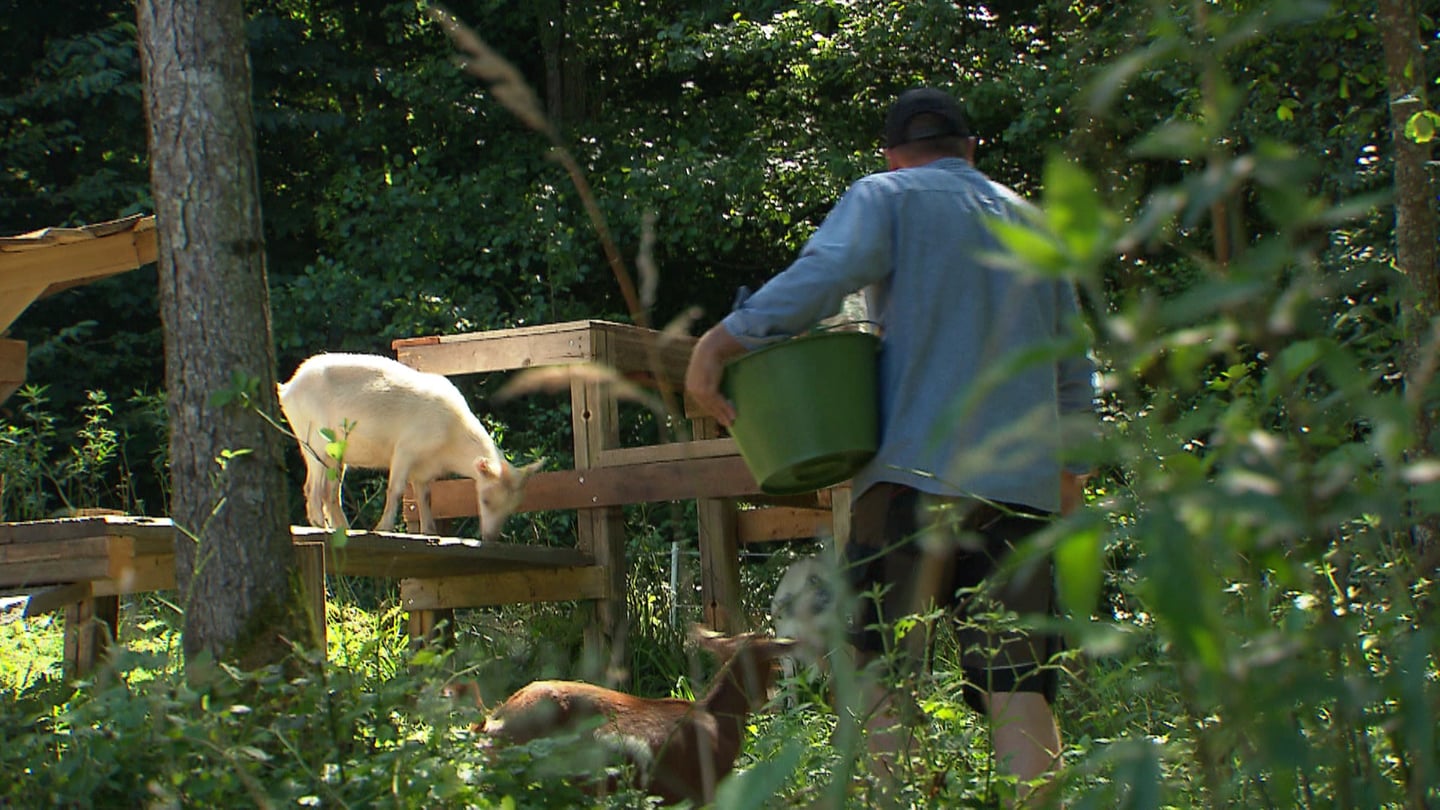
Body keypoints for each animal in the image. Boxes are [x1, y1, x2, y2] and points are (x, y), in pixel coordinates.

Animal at [275, 351, 541, 536]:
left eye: (513, 506)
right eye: (485, 500)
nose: (490, 536)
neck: (450, 437)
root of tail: (286, 389)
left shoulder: (424, 469)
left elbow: (425, 497)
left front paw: (429, 531)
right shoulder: (406, 448)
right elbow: (396, 489)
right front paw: (383, 528)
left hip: (336, 452)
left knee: (331, 491)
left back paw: (344, 528)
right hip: (313, 438)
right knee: (313, 487)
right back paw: (322, 527)